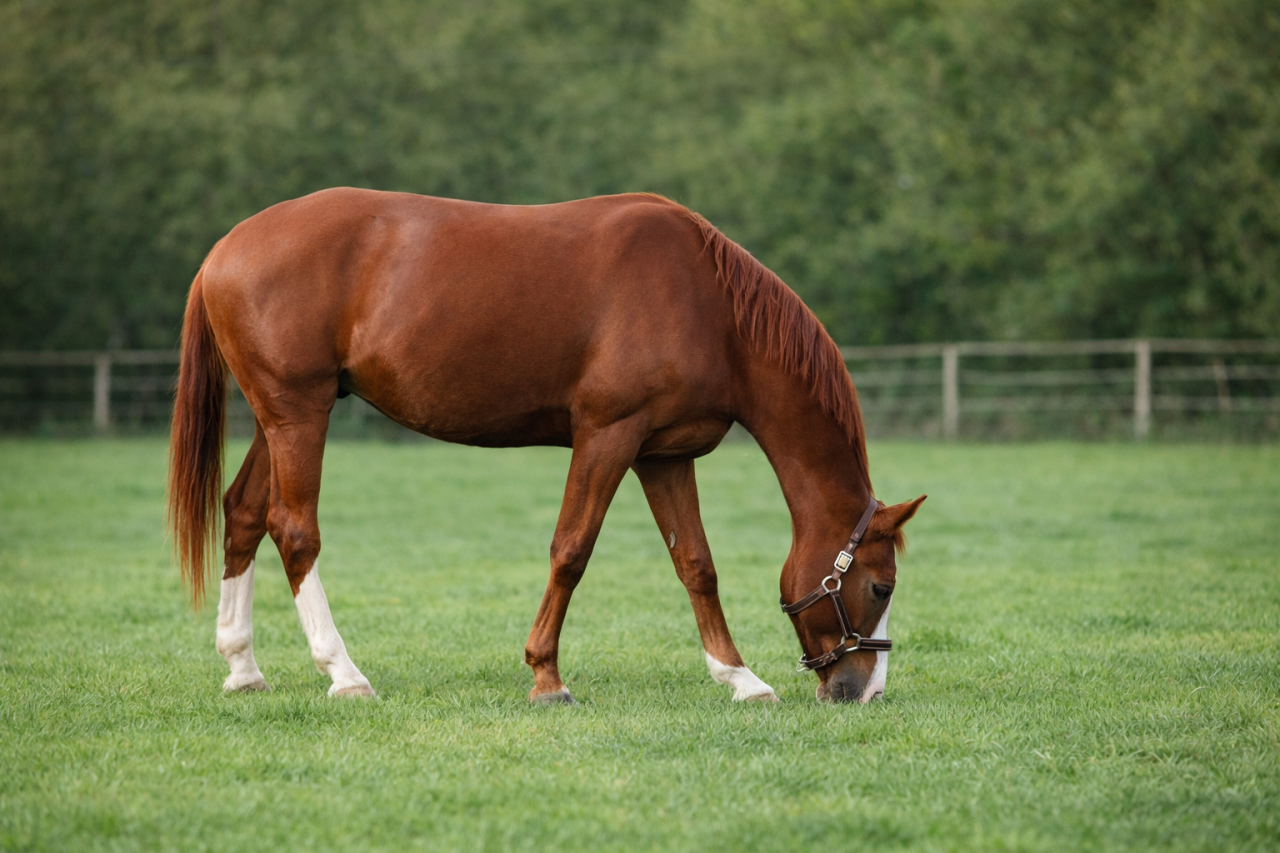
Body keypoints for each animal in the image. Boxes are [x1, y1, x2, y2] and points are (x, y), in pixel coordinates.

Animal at [168, 188, 925, 704]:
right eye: (880, 585)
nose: (866, 689)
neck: (708, 303)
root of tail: (224, 249)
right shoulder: (607, 434)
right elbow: (572, 550)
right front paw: (547, 677)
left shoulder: (662, 453)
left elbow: (696, 565)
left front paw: (739, 677)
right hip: (298, 413)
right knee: (295, 530)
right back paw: (344, 672)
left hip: (281, 417)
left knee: (242, 514)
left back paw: (243, 666)